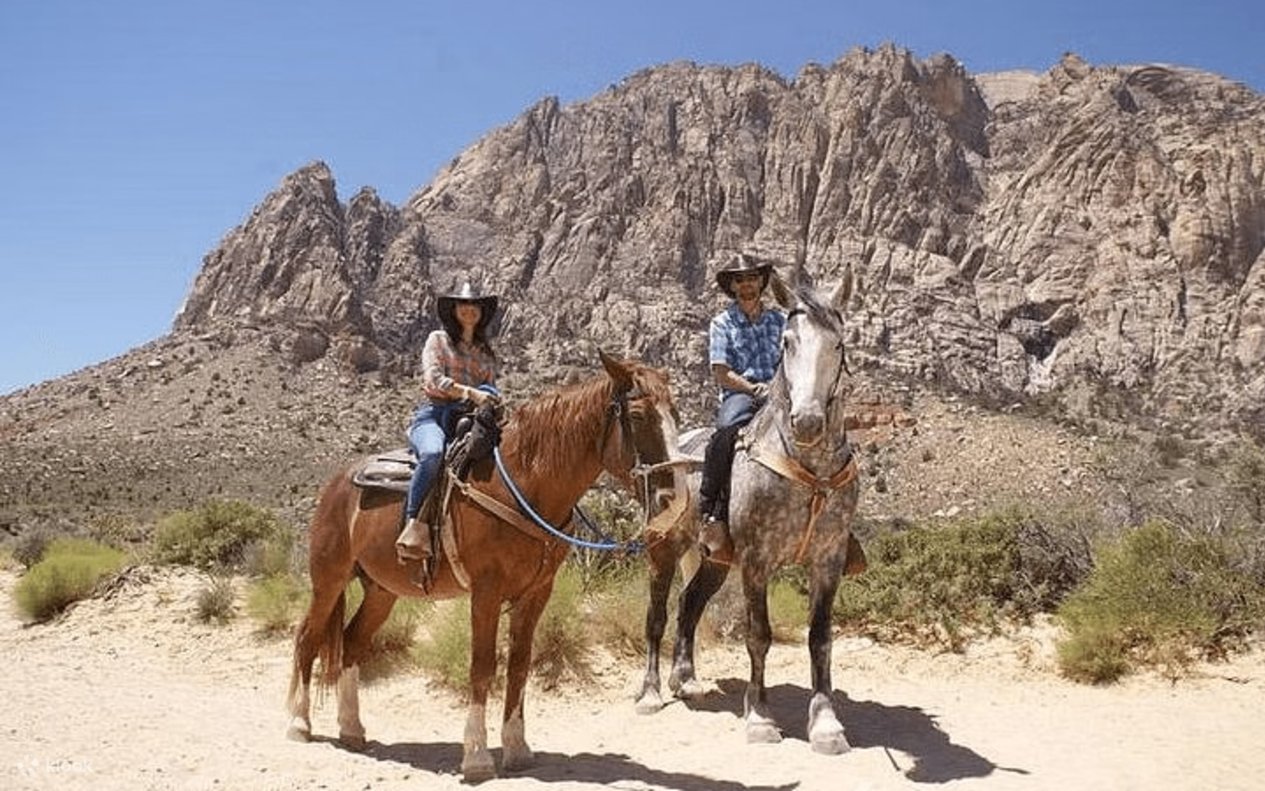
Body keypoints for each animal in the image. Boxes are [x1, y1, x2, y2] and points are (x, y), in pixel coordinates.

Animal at [286, 351, 680, 782]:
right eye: (639, 415)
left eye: (676, 413)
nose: (670, 498)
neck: (525, 484)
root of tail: (337, 483)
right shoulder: (486, 592)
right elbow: (482, 667)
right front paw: (476, 756)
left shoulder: (536, 593)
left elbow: (520, 665)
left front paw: (517, 748)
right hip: (329, 578)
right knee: (307, 637)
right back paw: (299, 724)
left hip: (381, 590)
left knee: (352, 643)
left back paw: (352, 729)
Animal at [635, 271, 860, 754]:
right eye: (787, 342)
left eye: (837, 344)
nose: (807, 422)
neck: (808, 473)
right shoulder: (757, 560)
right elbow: (758, 635)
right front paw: (759, 716)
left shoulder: (828, 560)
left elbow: (821, 639)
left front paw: (826, 723)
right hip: (664, 549)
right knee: (658, 615)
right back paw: (650, 693)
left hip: (715, 560)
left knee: (689, 603)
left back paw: (687, 679)